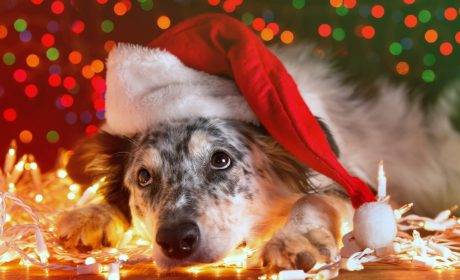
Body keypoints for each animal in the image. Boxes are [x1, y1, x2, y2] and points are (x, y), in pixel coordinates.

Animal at [54, 44, 460, 274]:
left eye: (221, 160)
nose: (174, 240)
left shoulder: (359, 185)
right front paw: (89, 214)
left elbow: (312, 200)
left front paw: (296, 239)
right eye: (143, 177)